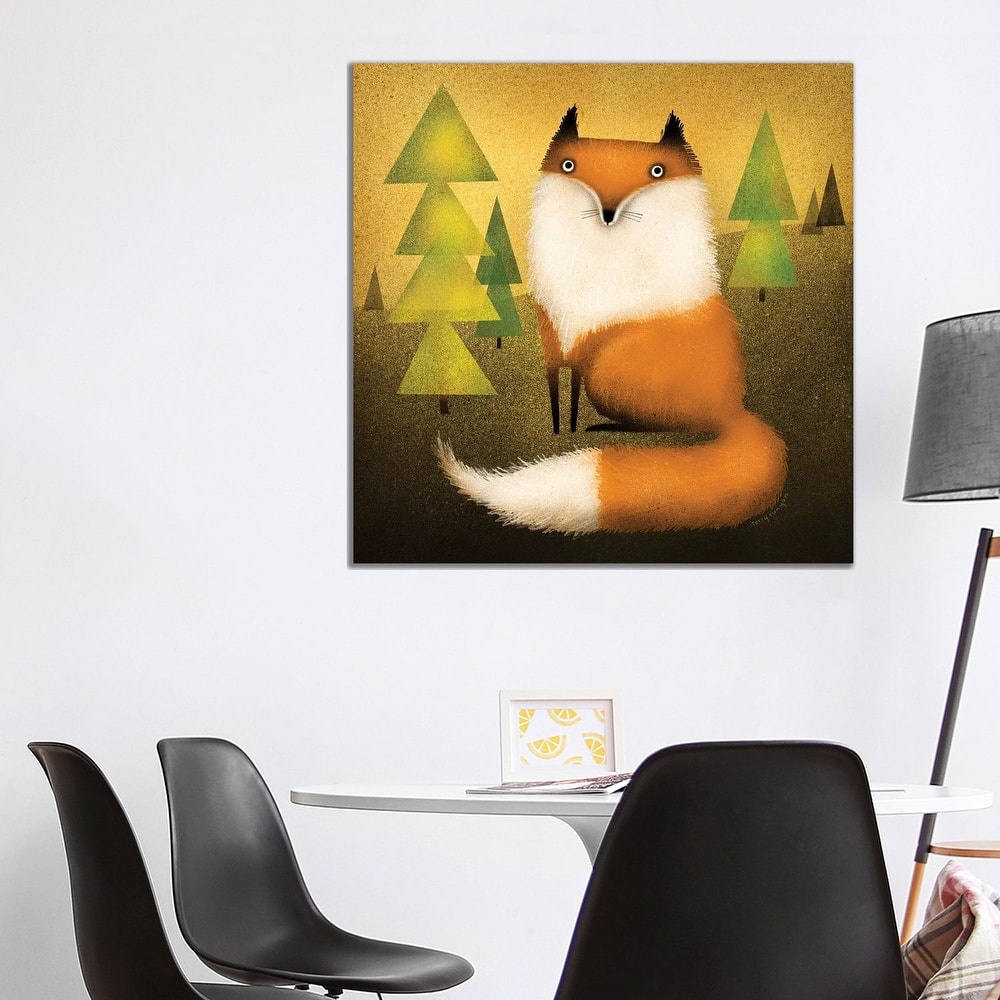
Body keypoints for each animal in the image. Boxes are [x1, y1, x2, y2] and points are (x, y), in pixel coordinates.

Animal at [435, 106, 787, 533]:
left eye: (657, 171)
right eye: (570, 165)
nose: (607, 213)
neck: (602, 253)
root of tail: (736, 408)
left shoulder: (586, 331)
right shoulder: (555, 336)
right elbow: (560, 394)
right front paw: (561, 425)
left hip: (608, 373)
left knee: (673, 425)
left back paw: (613, 426)